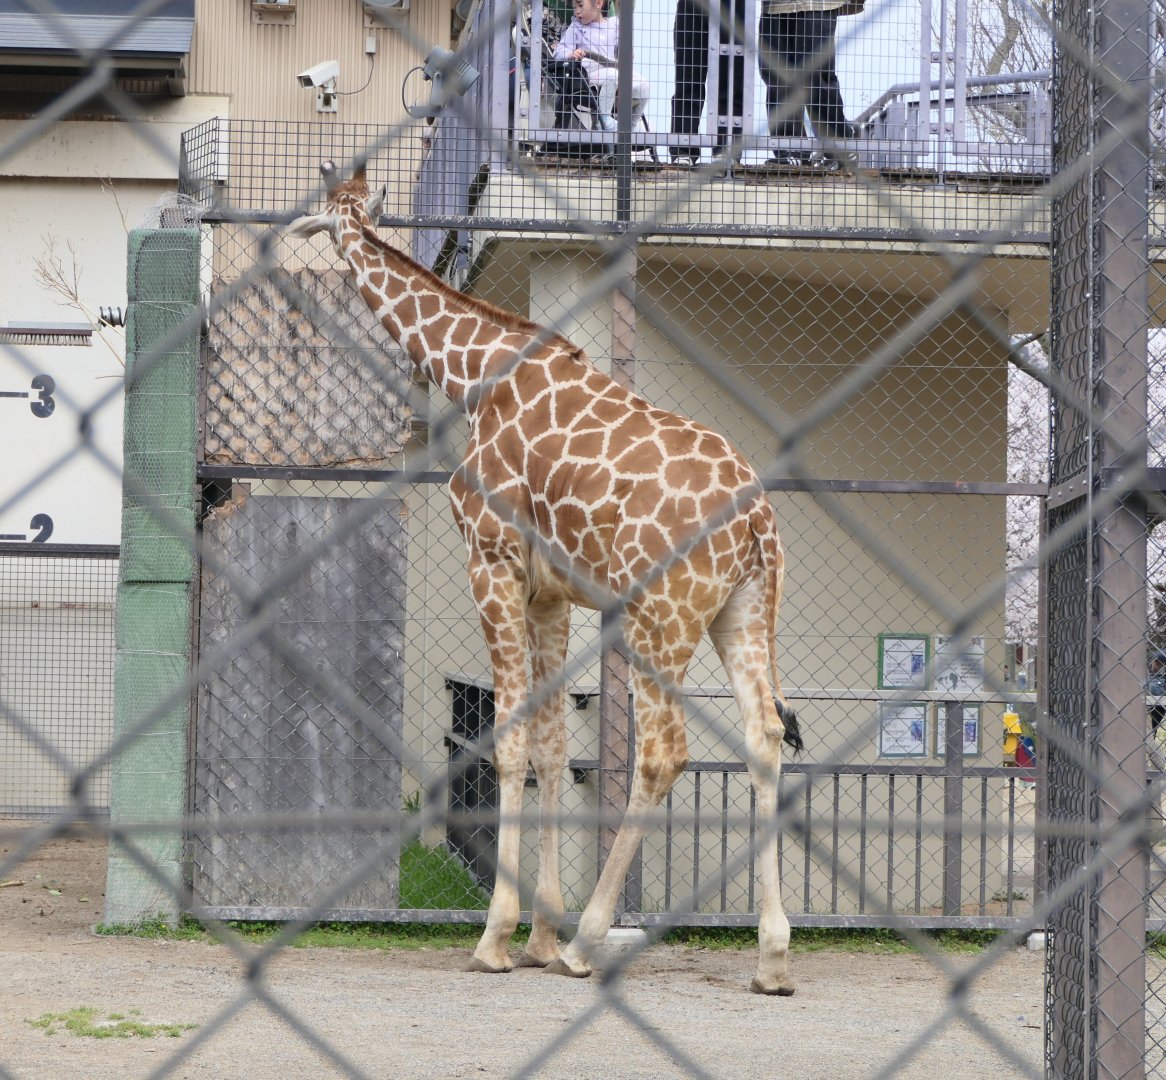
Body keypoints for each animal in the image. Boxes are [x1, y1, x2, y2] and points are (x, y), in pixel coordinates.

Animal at [288, 161, 803, 994]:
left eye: (323, 207)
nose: (289, 233)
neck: (473, 375)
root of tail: (757, 523)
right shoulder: (552, 594)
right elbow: (555, 747)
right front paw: (536, 932)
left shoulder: (491, 560)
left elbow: (507, 741)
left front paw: (498, 937)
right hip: (744, 610)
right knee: (764, 736)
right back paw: (772, 957)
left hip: (659, 615)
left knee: (664, 752)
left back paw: (589, 943)